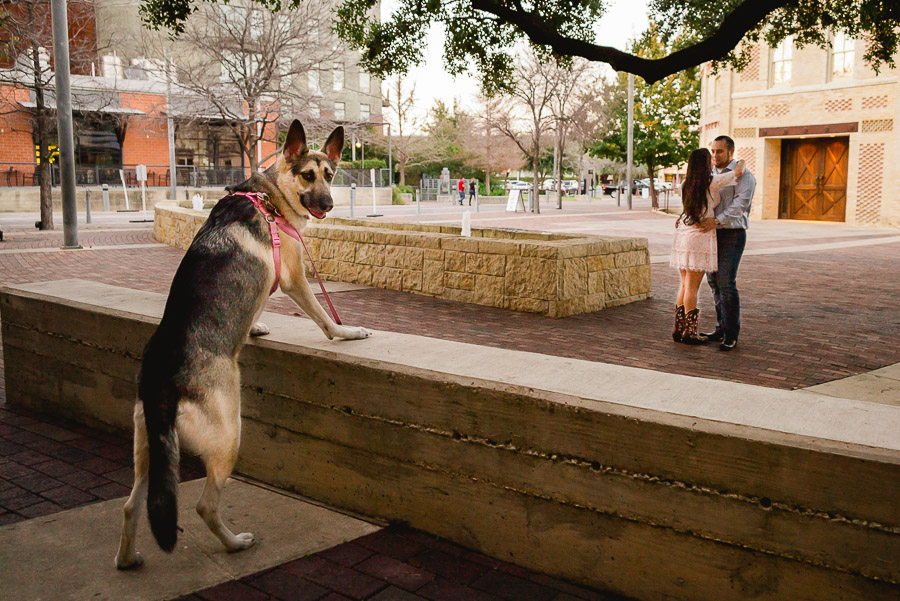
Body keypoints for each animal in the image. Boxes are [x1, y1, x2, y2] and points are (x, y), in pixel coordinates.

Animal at [116, 120, 370, 568]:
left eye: (331, 174)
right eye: (308, 175)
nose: (328, 204)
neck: (270, 195)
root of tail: (163, 376)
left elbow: (255, 313)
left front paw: (256, 328)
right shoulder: (293, 276)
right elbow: (324, 318)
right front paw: (347, 332)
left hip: (150, 447)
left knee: (131, 506)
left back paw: (128, 559)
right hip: (228, 436)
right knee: (204, 505)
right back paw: (234, 544)